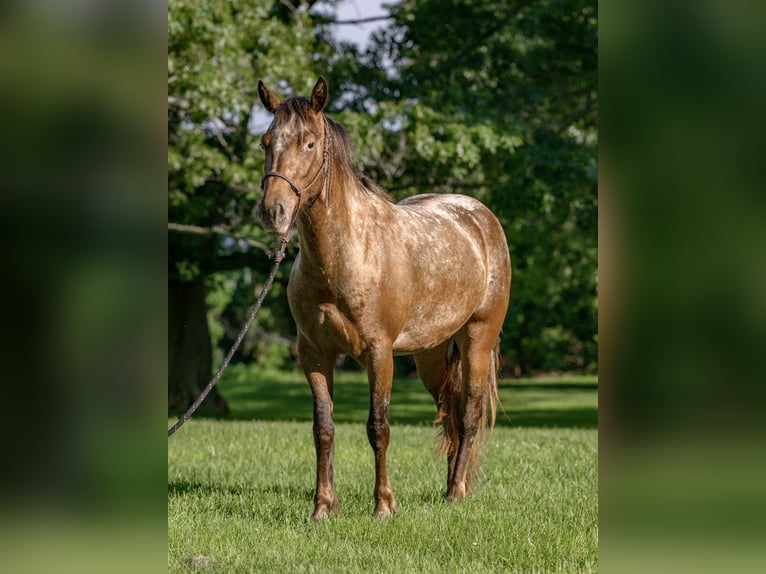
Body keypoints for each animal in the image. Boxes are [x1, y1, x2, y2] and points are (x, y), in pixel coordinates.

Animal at [256, 77, 511, 520]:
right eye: (265, 141)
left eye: (309, 143)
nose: (274, 211)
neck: (347, 255)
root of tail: (481, 217)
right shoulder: (314, 354)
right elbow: (323, 428)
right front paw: (323, 508)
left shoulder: (379, 354)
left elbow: (378, 426)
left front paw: (384, 505)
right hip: (430, 356)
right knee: (450, 410)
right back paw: (452, 485)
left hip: (477, 339)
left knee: (469, 412)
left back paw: (455, 492)